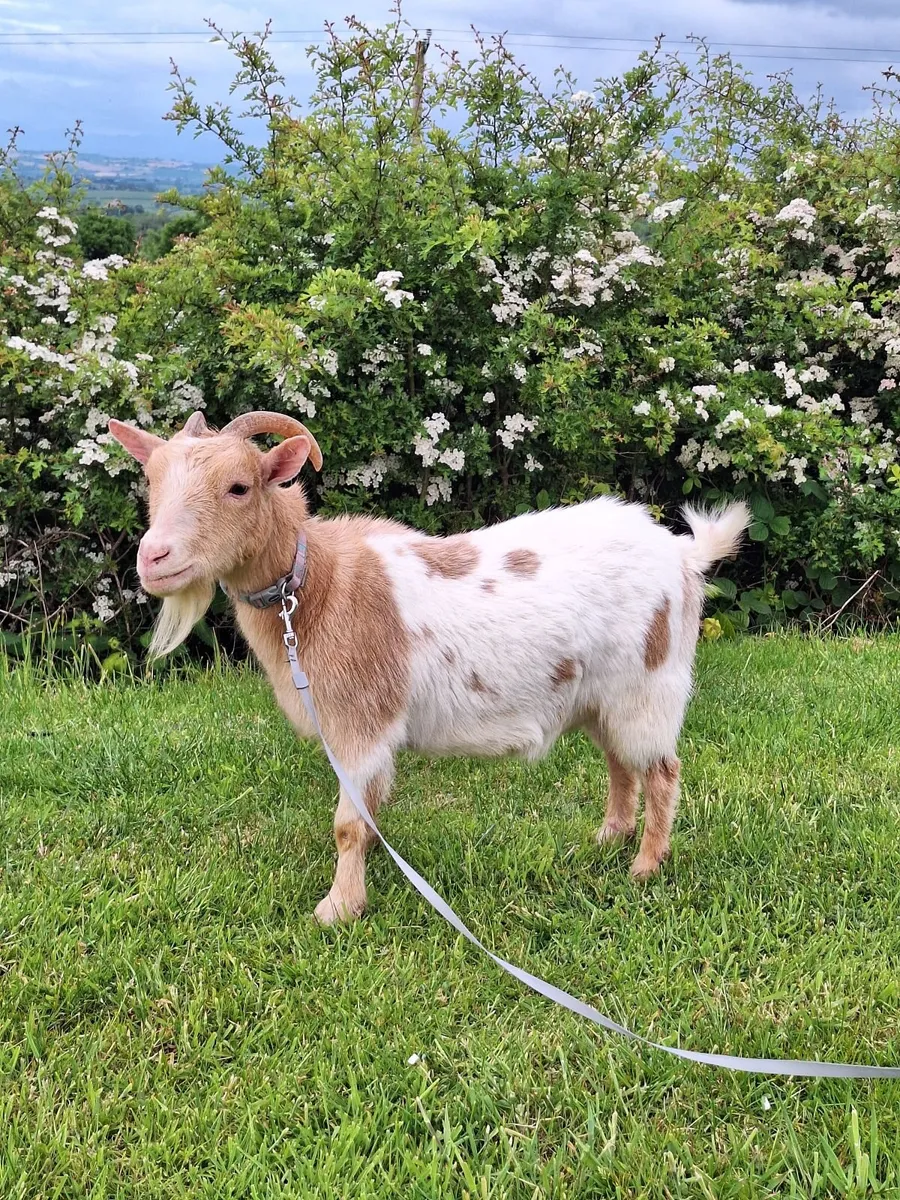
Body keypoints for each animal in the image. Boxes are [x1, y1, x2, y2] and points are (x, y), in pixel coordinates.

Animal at [109, 410, 750, 923]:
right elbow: (368, 816)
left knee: (661, 770)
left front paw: (338, 909)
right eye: (152, 481)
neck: (317, 587)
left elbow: (347, 823)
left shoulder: (360, 723)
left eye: (240, 487)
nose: (155, 558)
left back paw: (645, 866)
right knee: (621, 765)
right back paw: (606, 841)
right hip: (600, 696)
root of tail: (682, 554)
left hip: (648, 685)